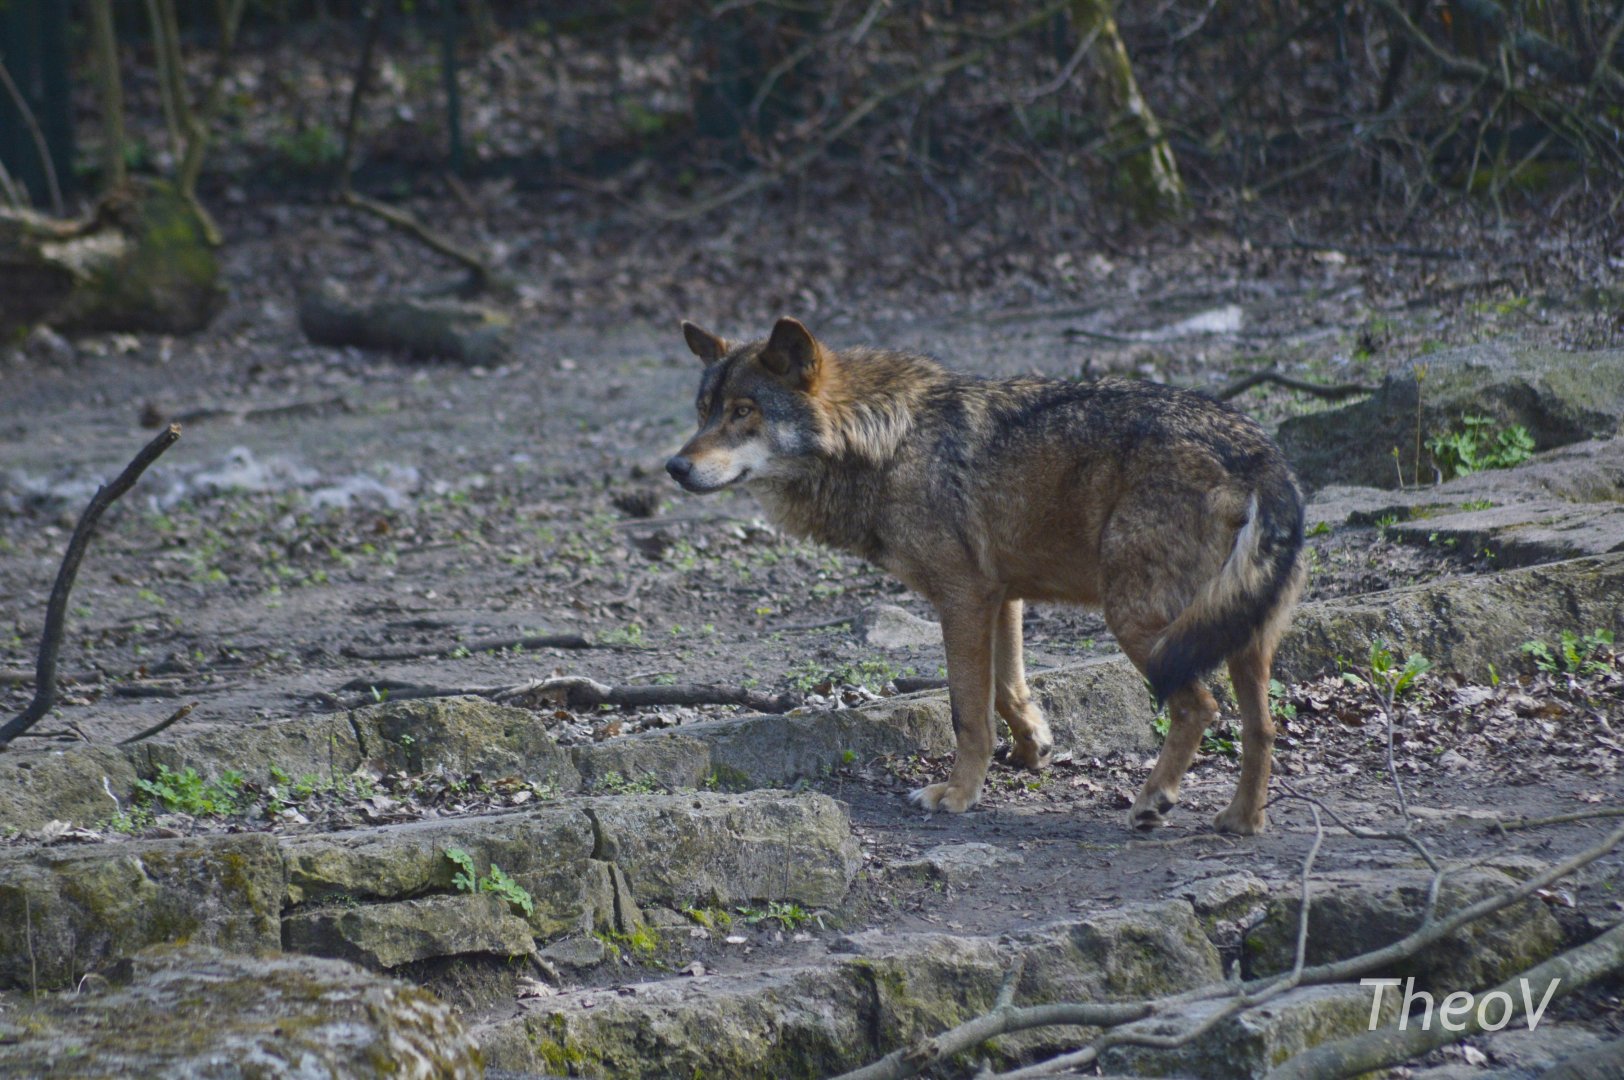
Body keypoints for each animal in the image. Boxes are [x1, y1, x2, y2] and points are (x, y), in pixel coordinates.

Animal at [666, 317, 1305, 834]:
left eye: (743, 411)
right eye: (702, 413)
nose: (674, 466)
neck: (889, 440)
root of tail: (1260, 453)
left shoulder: (962, 597)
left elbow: (967, 710)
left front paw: (957, 794)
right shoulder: (1002, 597)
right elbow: (1008, 689)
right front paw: (1034, 749)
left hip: (1139, 623)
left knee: (1200, 707)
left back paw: (1152, 801)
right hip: (1240, 634)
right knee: (1262, 727)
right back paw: (1242, 821)